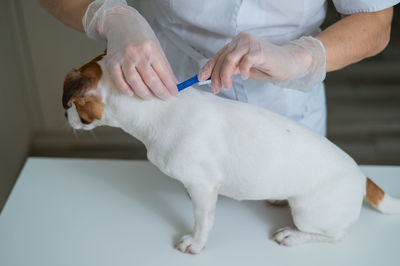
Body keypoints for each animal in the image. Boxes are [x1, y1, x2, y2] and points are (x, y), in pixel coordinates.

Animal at [63, 53, 400, 254]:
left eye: (72, 105)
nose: (65, 118)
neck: (155, 108)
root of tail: (362, 176)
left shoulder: (202, 186)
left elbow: (202, 220)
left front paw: (195, 243)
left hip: (310, 213)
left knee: (336, 236)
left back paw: (294, 236)